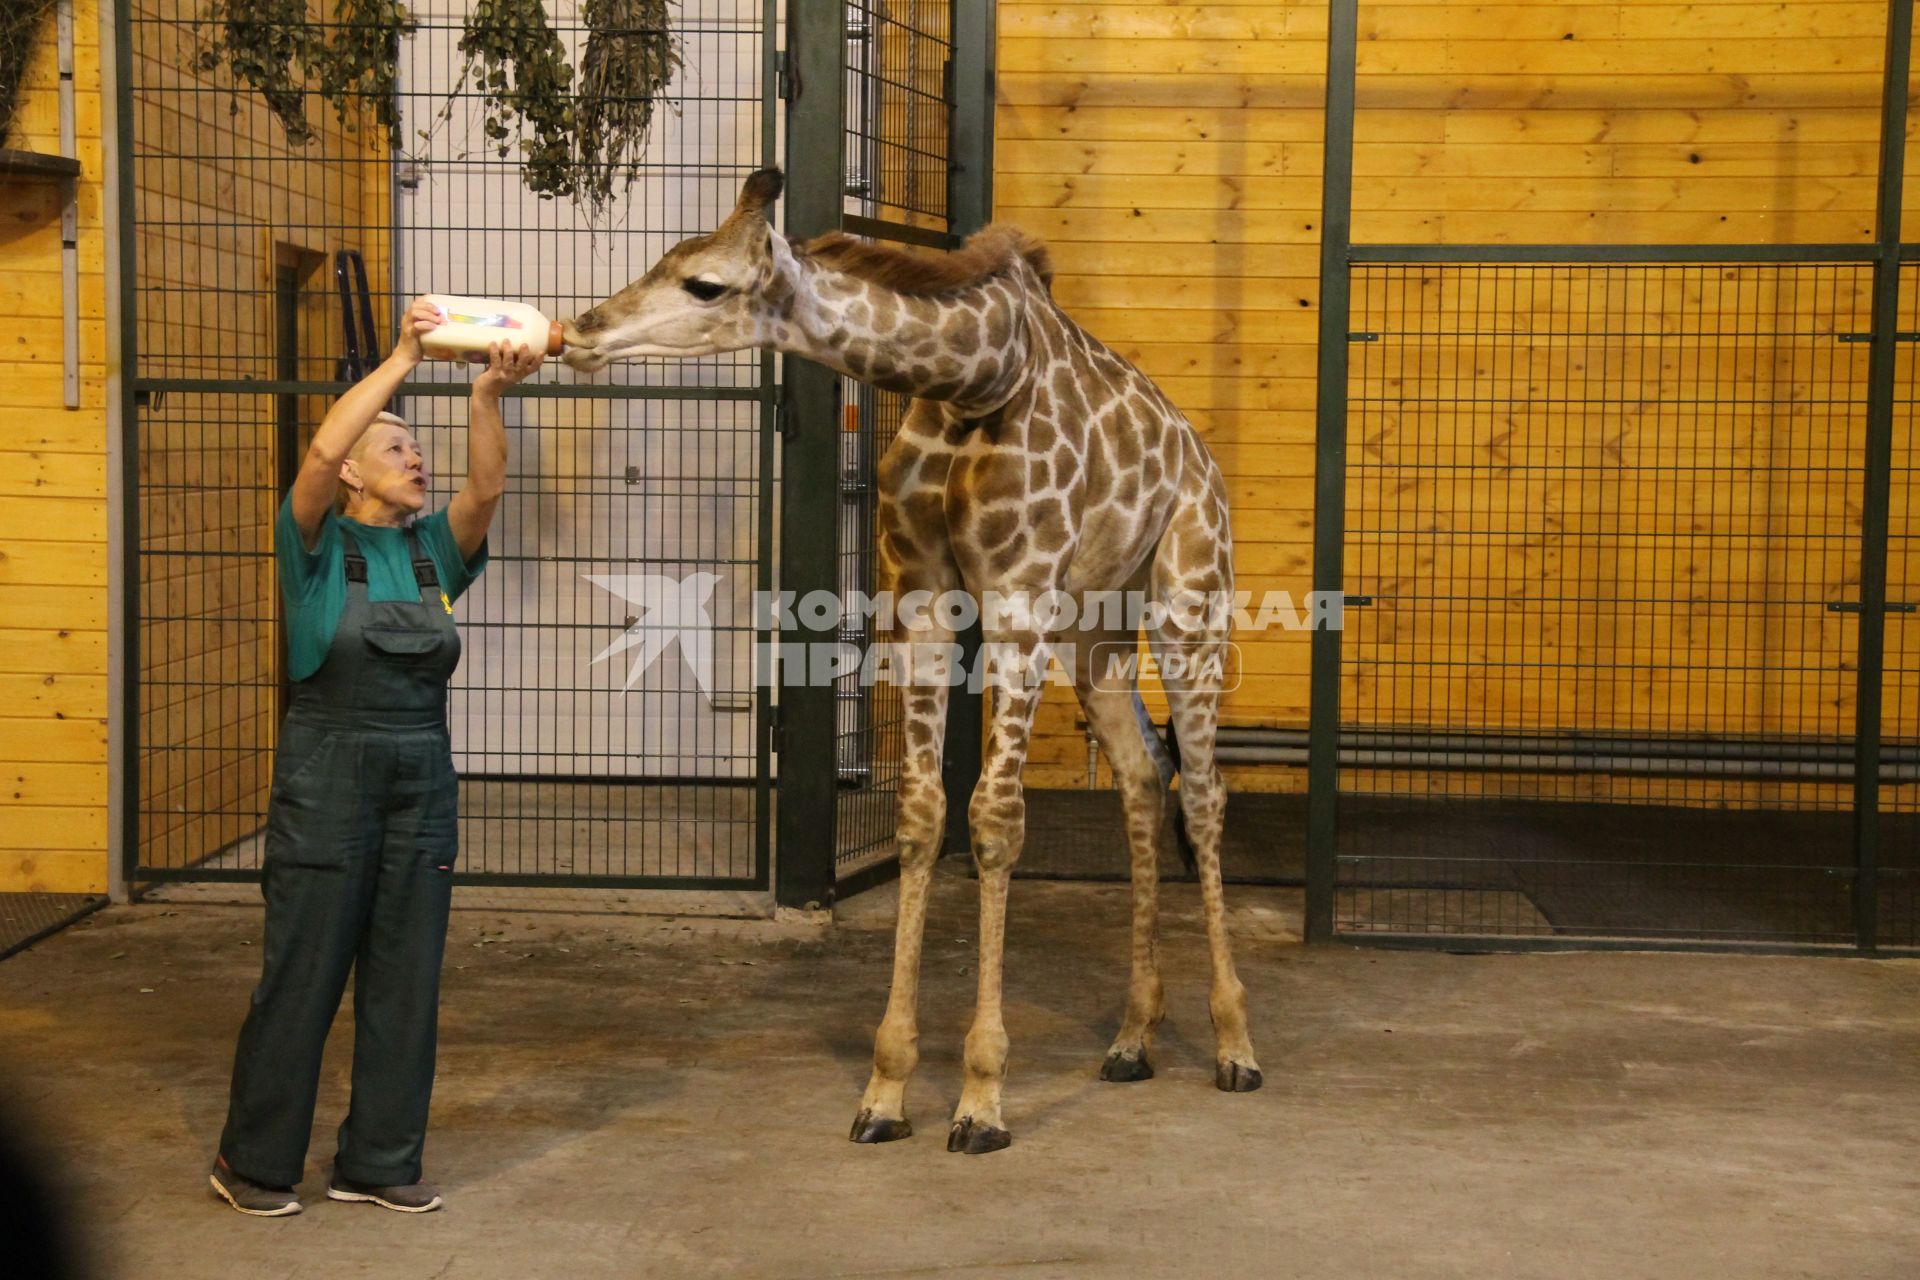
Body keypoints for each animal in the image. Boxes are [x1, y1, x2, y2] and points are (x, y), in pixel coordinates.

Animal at [560, 165, 1267, 1159]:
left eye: (705, 284)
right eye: (663, 260)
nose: (581, 331)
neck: (976, 375)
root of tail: (1201, 462)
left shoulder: (1017, 594)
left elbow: (997, 820)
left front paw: (981, 1098)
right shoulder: (924, 593)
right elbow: (923, 815)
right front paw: (888, 1089)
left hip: (1187, 599)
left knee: (1202, 792)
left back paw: (1236, 1046)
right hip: (1097, 628)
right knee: (1141, 774)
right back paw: (1133, 1038)